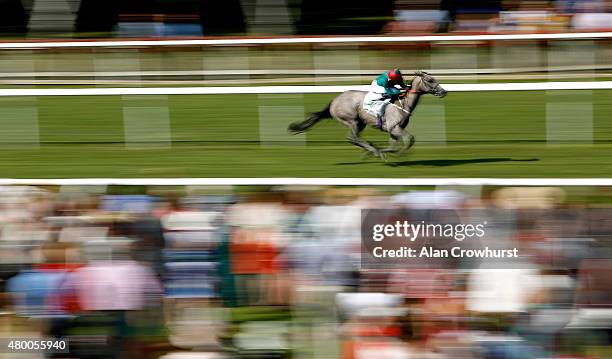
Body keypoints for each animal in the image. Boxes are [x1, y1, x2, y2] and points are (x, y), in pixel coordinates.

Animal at [290, 71, 448, 160]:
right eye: (430, 80)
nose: (444, 91)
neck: (403, 103)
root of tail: (333, 102)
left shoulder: (393, 130)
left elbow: (393, 146)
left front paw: (384, 152)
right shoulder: (395, 127)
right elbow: (410, 139)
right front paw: (395, 154)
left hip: (361, 123)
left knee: (356, 138)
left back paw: (371, 149)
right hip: (352, 120)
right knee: (352, 137)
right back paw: (373, 150)